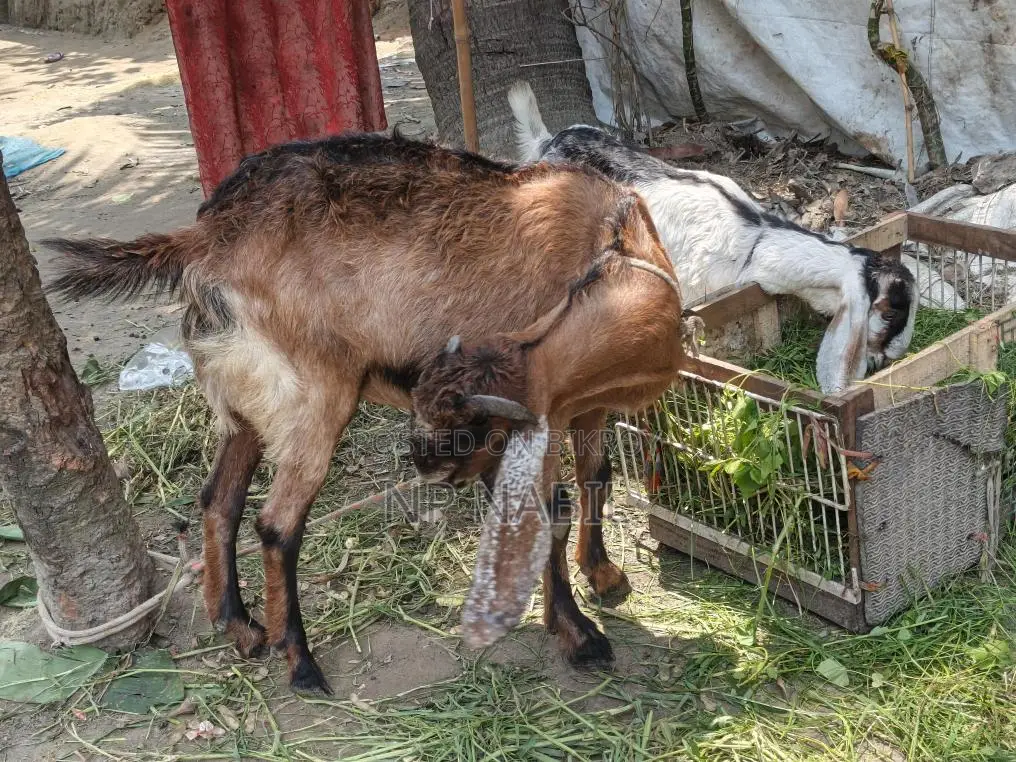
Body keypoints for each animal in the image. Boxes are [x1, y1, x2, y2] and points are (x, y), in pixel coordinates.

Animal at [44, 131, 686, 694]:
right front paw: (579, 634)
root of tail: (207, 236)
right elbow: (548, 510)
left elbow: (596, 477)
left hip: (248, 399)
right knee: (276, 524)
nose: (425, 466)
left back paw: (241, 627)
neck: (609, 249)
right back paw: (300, 664)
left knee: (219, 499)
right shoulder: (543, 417)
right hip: (314, 395)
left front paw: (603, 575)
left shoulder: (583, 408)